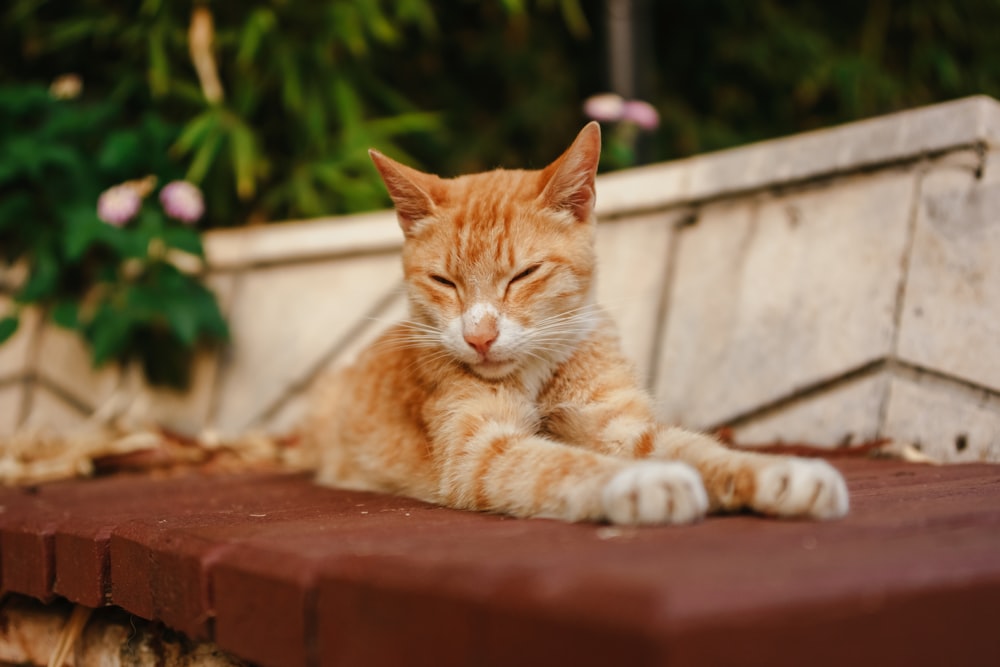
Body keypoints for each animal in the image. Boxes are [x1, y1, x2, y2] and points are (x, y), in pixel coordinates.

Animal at [308, 122, 848, 524]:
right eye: (444, 281)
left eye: (524, 274)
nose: (479, 336)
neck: (536, 375)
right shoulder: (477, 451)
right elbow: (559, 462)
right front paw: (641, 482)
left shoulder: (620, 425)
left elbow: (693, 447)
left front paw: (781, 473)